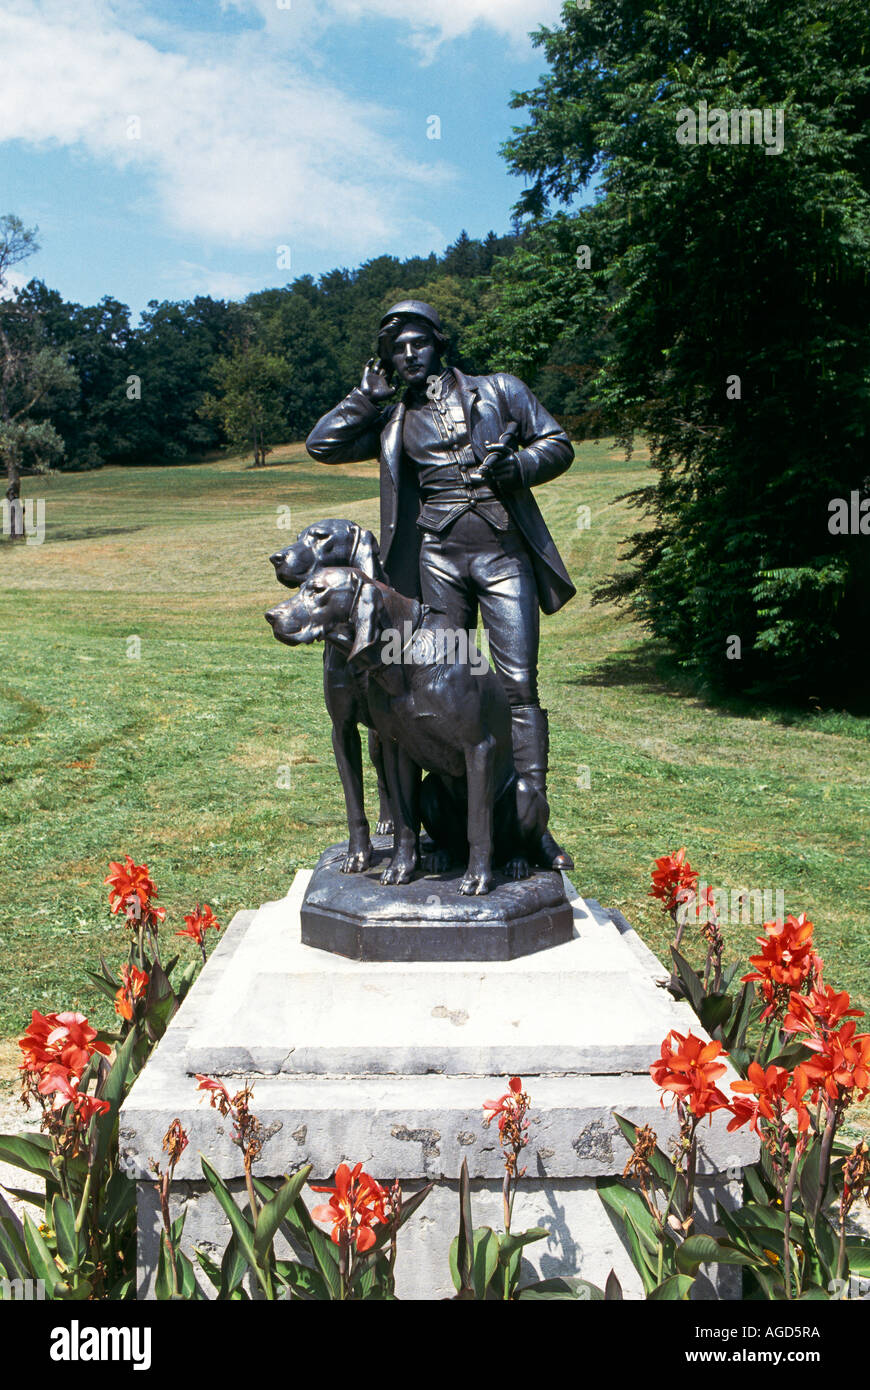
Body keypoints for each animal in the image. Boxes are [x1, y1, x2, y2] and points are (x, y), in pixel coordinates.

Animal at [264, 567, 547, 900]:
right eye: (300, 587)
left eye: (319, 590)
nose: (271, 615)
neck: (402, 657)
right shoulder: (394, 747)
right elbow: (403, 820)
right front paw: (400, 867)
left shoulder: (478, 747)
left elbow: (478, 825)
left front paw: (477, 878)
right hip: (430, 790)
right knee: (449, 837)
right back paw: (441, 856)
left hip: (524, 792)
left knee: (512, 839)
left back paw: (516, 864)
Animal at [269, 522, 394, 867]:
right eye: (298, 537)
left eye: (321, 536)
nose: (277, 557)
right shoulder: (342, 729)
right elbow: (353, 801)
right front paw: (358, 853)